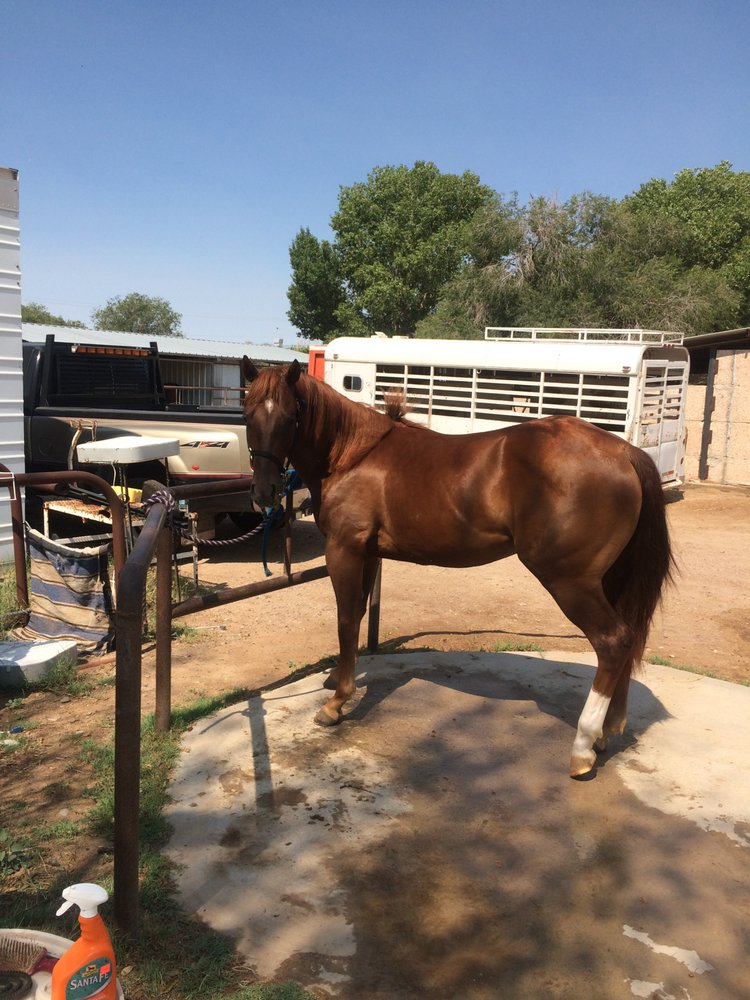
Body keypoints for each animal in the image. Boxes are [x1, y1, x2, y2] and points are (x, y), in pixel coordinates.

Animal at [241, 358, 673, 778]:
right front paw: (337, 679)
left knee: (613, 641)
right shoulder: (367, 555)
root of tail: (624, 452)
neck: (352, 456)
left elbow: (346, 619)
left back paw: (582, 747)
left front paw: (336, 702)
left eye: (289, 417)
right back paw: (606, 732)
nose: (264, 493)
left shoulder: (344, 551)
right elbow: (359, 614)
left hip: (569, 581)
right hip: (607, 580)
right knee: (628, 638)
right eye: (247, 413)